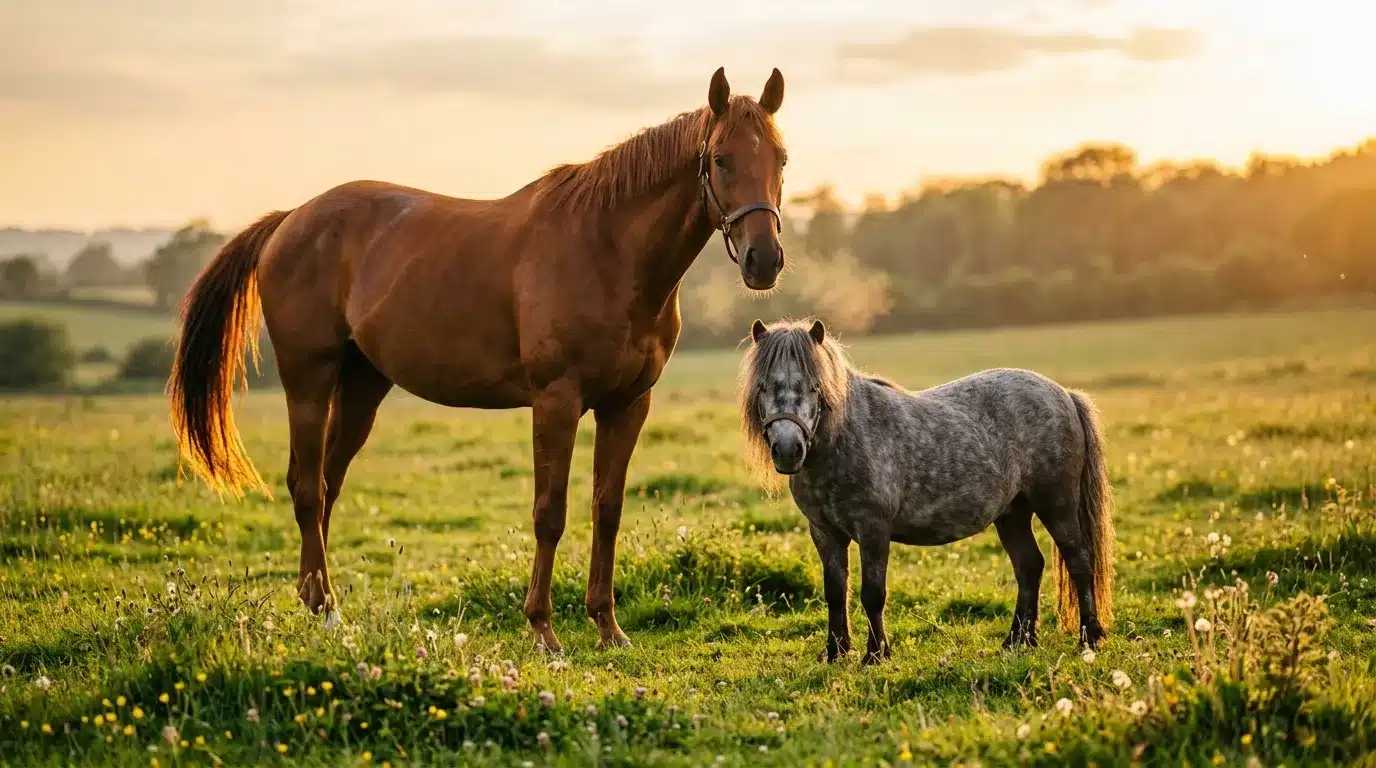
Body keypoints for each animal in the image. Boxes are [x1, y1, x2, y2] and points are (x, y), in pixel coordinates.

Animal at [167, 66, 791, 652]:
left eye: (780, 159)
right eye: (720, 158)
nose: (764, 260)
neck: (608, 251)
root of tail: (292, 218)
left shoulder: (629, 404)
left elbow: (607, 509)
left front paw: (607, 627)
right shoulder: (556, 401)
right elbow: (549, 511)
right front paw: (543, 629)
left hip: (362, 386)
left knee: (326, 484)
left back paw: (314, 601)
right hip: (308, 381)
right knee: (306, 487)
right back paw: (327, 609)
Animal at [737, 318, 1116, 664]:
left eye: (816, 387)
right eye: (763, 387)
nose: (788, 450)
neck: (843, 439)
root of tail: (1064, 394)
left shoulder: (873, 530)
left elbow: (872, 593)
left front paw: (875, 655)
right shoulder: (824, 532)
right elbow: (835, 592)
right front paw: (836, 652)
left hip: (1057, 506)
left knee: (1079, 563)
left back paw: (1089, 637)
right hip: (1012, 513)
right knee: (1029, 566)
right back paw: (1018, 641)